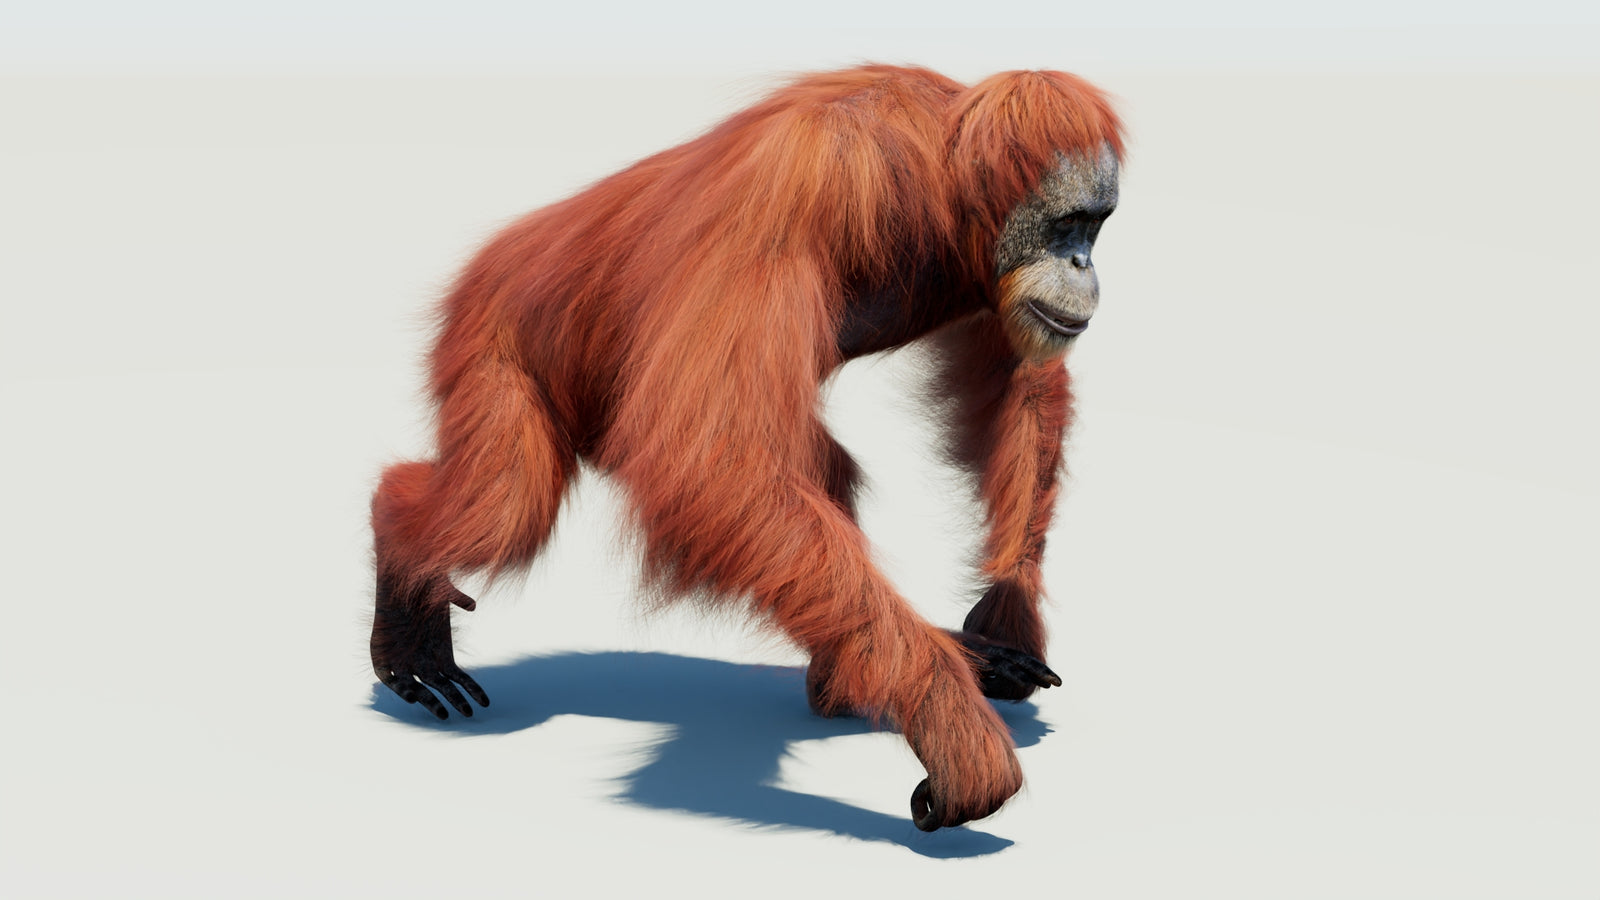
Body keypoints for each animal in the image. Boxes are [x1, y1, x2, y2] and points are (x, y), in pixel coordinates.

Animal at [368, 64, 1123, 832]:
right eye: (1067, 224)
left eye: (1096, 225)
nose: (1082, 264)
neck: (937, 182)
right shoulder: (801, 187)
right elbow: (711, 458)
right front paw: (952, 725)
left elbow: (1019, 379)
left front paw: (1004, 618)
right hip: (491, 338)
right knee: (507, 504)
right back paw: (402, 569)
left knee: (813, 478)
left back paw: (856, 680)